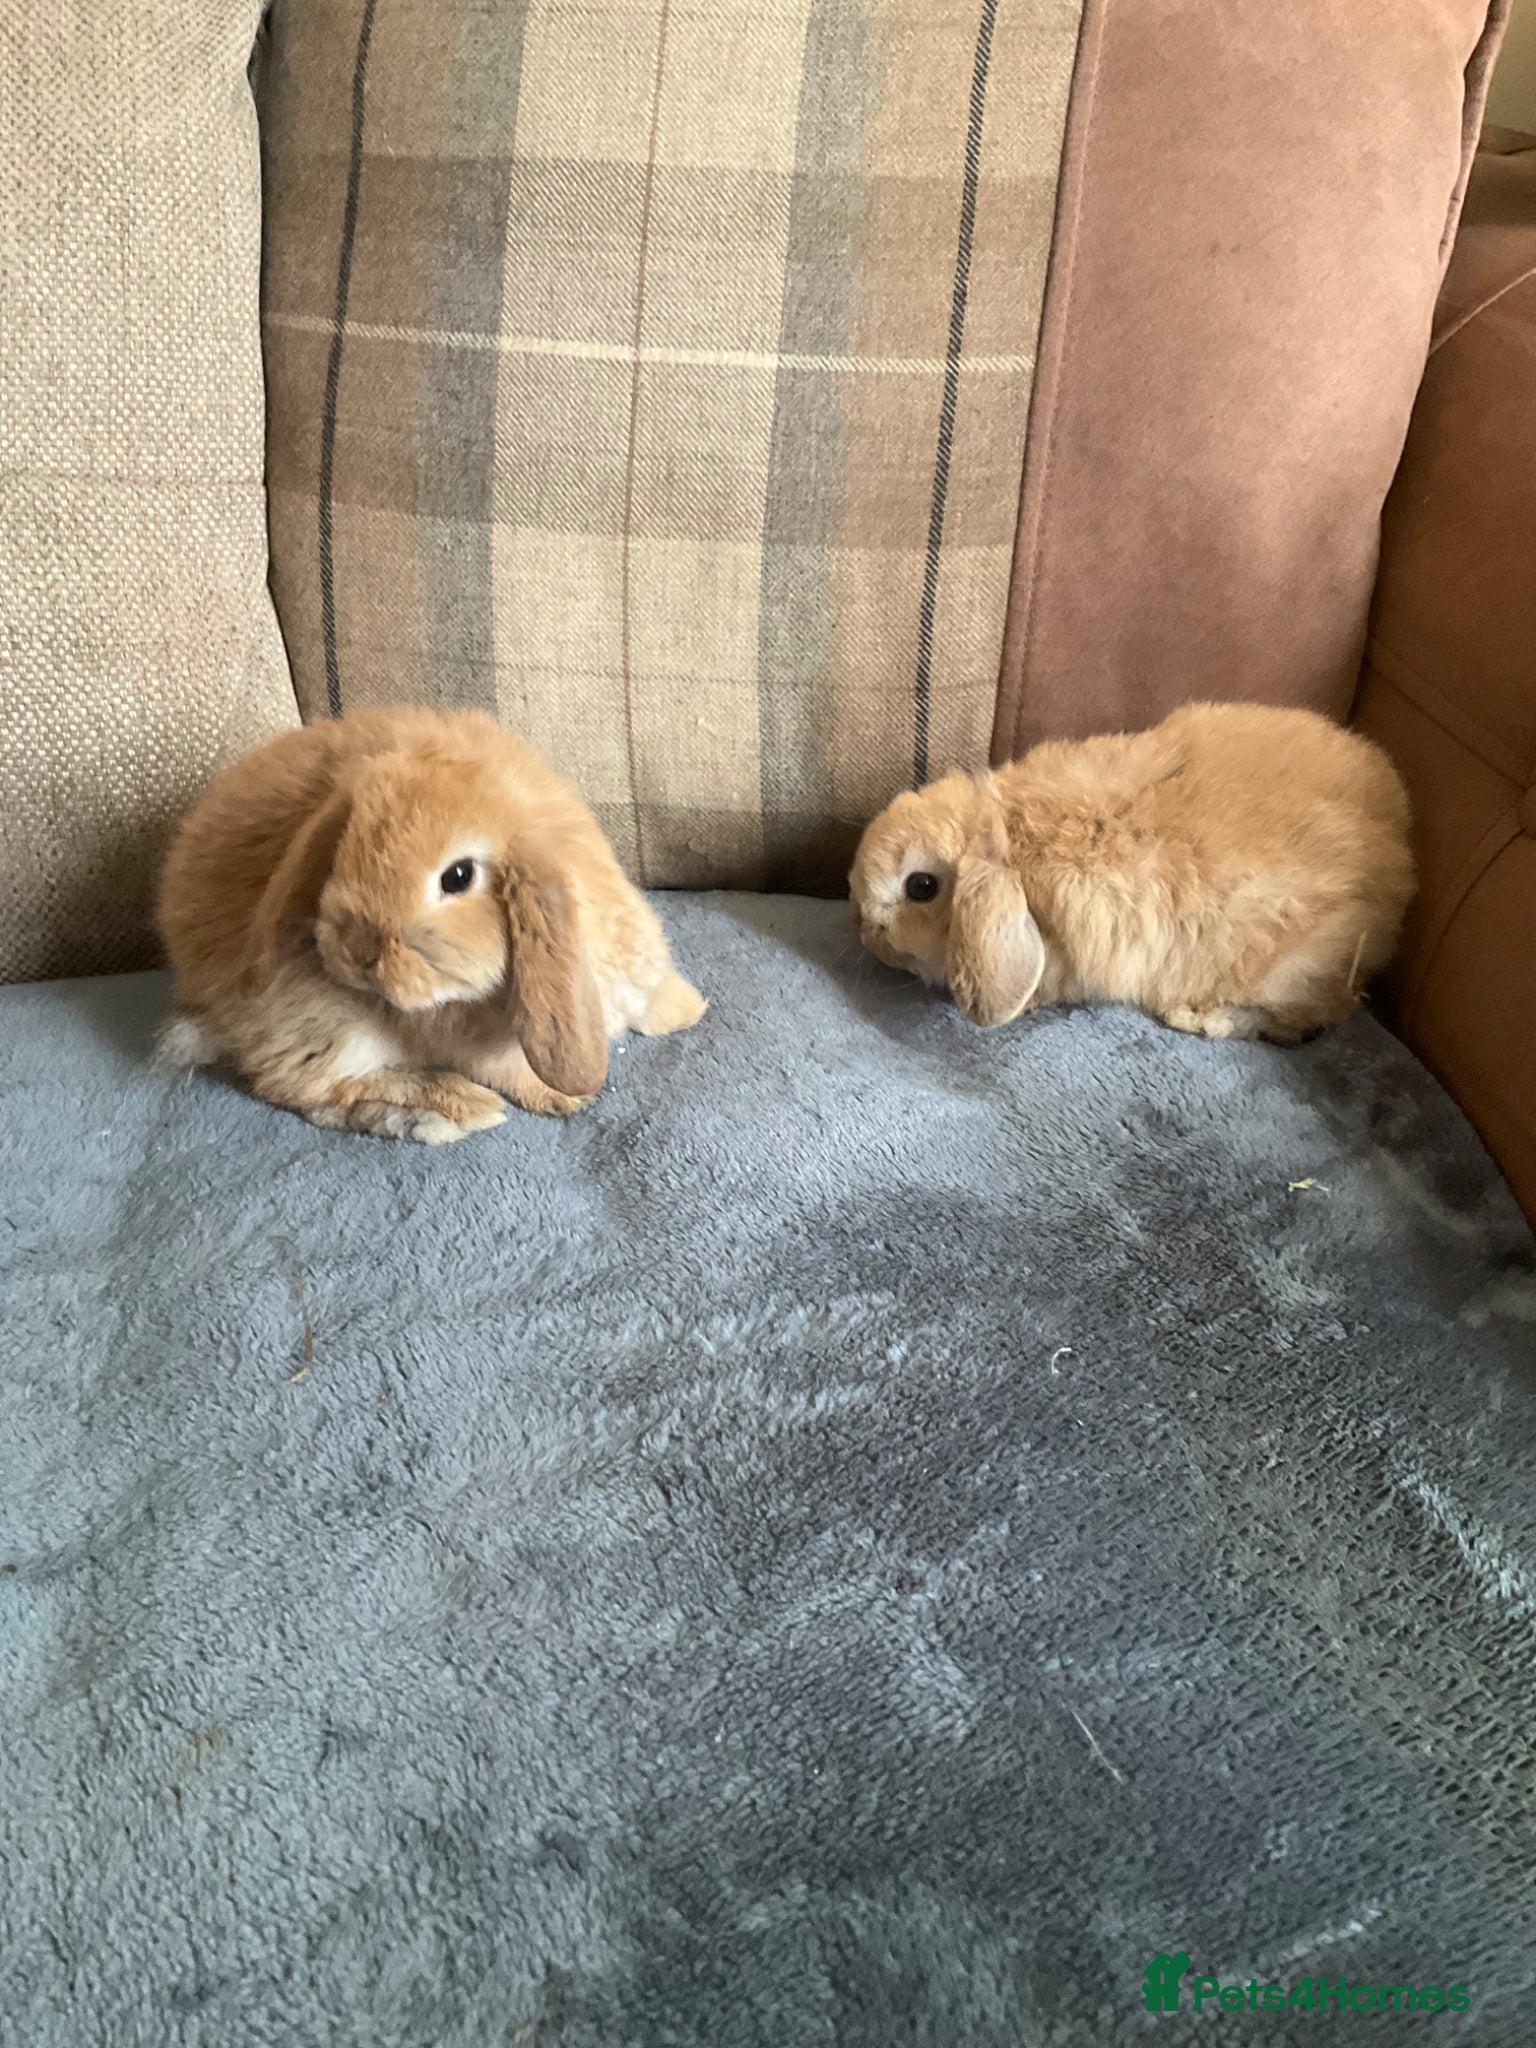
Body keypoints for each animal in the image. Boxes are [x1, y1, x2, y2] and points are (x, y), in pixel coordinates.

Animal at [157, 707, 706, 1141]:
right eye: (343, 850)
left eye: (458, 876)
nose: (357, 951)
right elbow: (508, 1068)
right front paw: (563, 1098)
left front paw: (687, 1010)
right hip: (328, 1025)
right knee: (303, 1086)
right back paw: (455, 1109)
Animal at [849, 701, 1414, 1044]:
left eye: (921, 886)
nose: (862, 927)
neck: (1009, 836)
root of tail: (1403, 867)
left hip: (1289, 970)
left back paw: (1201, 1019)